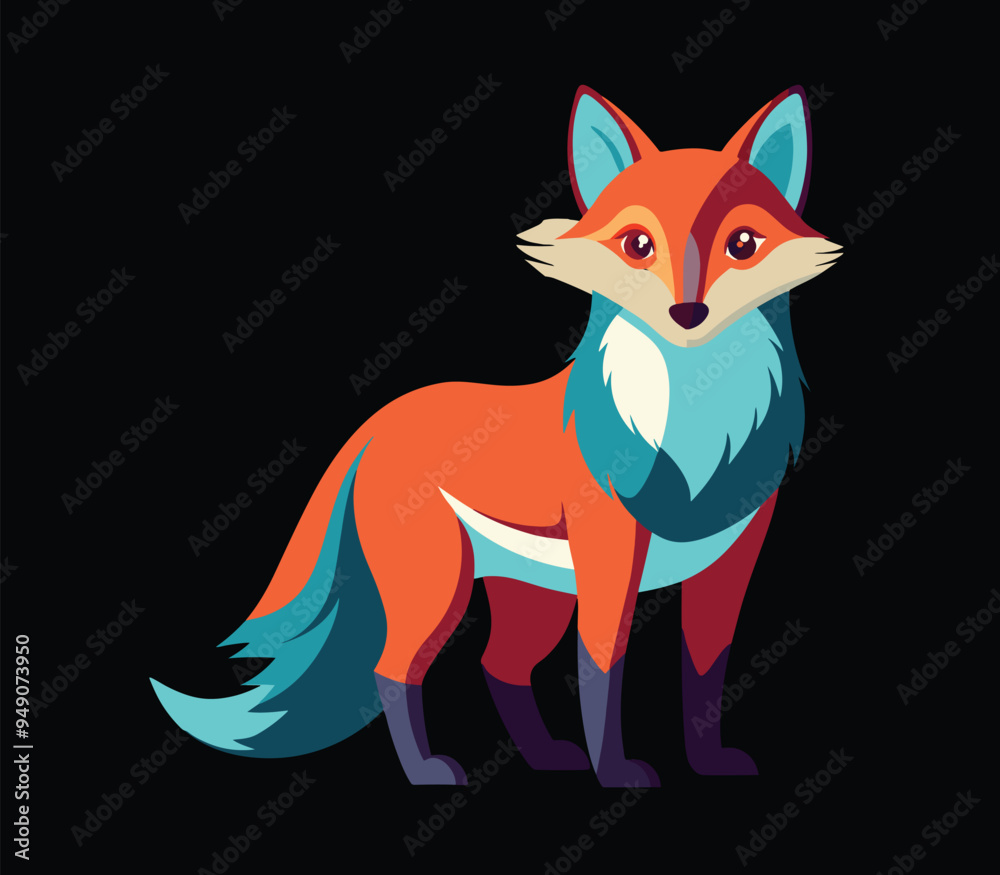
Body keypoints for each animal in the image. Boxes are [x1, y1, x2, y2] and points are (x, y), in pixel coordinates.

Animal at [151, 84, 841, 786]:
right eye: (638, 245)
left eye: (743, 243)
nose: (688, 313)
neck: (696, 433)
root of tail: (377, 424)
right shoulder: (609, 558)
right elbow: (603, 671)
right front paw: (615, 773)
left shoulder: (733, 560)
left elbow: (703, 674)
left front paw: (707, 762)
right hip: (439, 590)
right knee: (395, 670)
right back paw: (428, 771)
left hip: (532, 596)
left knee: (499, 666)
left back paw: (545, 758)